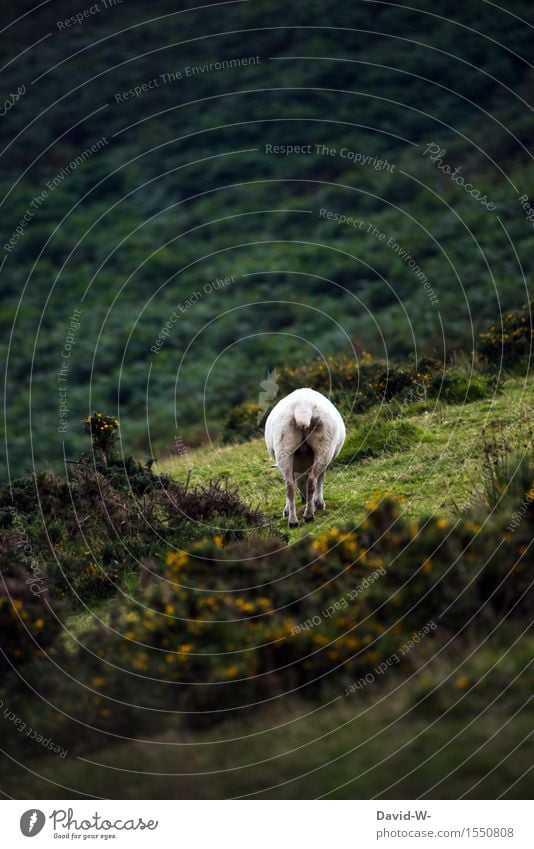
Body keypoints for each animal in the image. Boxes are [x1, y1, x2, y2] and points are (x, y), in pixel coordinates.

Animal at [264, 390, 348, 524]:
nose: (303, 499)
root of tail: (302, 407)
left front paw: (287, 510)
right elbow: (321, 478)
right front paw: (318, 503)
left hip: (284, 446)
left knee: (289, 486)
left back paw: (293, 521)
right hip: (324, 446)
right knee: (311, 481)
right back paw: (308, 515)